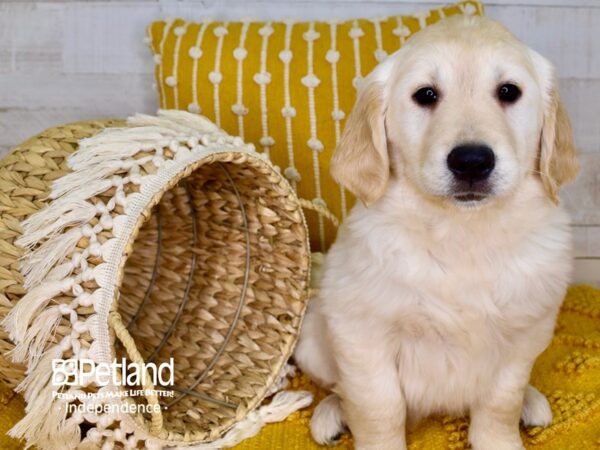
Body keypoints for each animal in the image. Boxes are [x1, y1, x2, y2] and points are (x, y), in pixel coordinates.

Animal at [294, 14, 576, 450]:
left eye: (508, 91)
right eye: (425, 95)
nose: (472, 161)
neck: (461, 231)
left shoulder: (525, 333)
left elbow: (501, 400)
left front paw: (500, 436)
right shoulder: (361, 333)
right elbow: (378, 407)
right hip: (312, 337)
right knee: (339, 387)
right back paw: (331, 414)